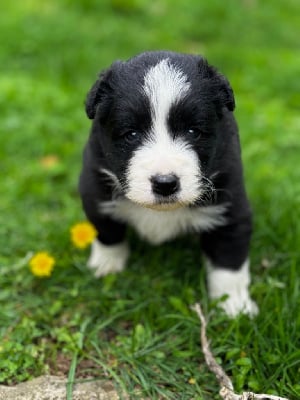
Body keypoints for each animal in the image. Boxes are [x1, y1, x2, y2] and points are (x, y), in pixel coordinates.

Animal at [79, 50, 258, 318]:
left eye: (193, 132)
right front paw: (106, 264)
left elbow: (229, 260)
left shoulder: (230, 202)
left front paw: (234, 305)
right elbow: (107, 230)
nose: (165, 183)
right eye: (131, 134)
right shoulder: (95, 186)